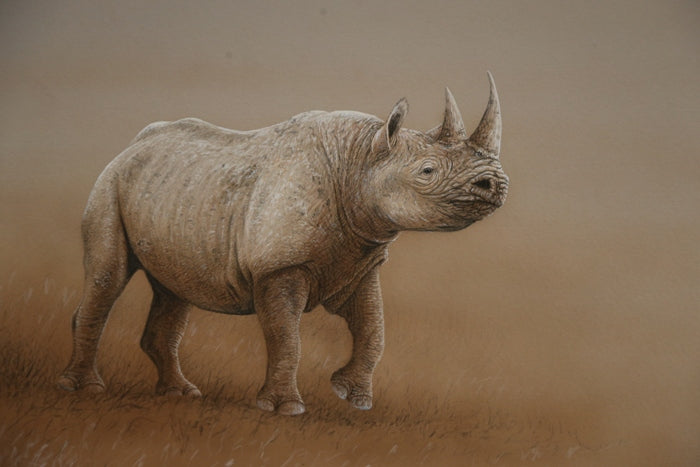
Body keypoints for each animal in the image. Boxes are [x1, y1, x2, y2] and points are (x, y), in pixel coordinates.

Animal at [58, 73, 508, 415]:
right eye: (427, 171)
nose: (496, 183)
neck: (361, 159)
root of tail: (132, 146)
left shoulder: (361, 259)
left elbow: (374, 329)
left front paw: (353, 397)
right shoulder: (277, 268)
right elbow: (286, 339)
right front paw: (284, 409)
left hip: (170, 193)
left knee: (175, 290)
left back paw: (180, 393)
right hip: (111, 184)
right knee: (108, 275)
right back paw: (84, 388)